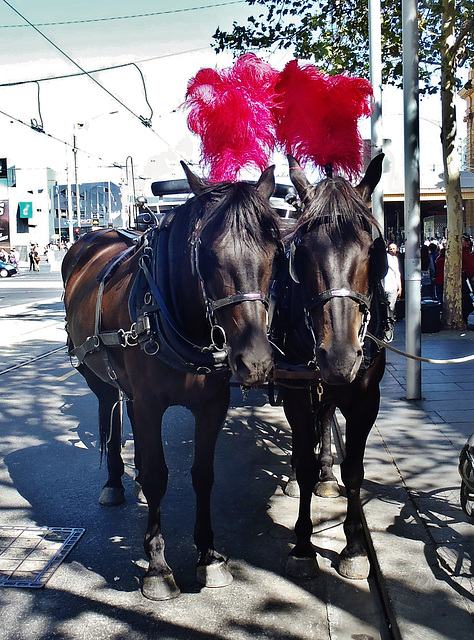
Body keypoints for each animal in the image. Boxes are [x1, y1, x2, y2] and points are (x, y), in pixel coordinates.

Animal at [60, 161, 280, 600]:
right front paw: (158, 567)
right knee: (110, 416)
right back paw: (115, 482)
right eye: (207, 254)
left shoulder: (213, 405)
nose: (255, 361)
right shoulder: (150, 404)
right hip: (98, 377)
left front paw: (209, 556)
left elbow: (203, 474)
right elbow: (161, 475)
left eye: (274, 249)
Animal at [270, 154, 388, 580]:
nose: (339, 357)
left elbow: (354, 470)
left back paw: (327, 475)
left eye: (374, 250)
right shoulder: (295, 392)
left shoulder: (366, 397)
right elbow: (303, 460)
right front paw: (304, 545)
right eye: (299, 252)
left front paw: (354, 548)